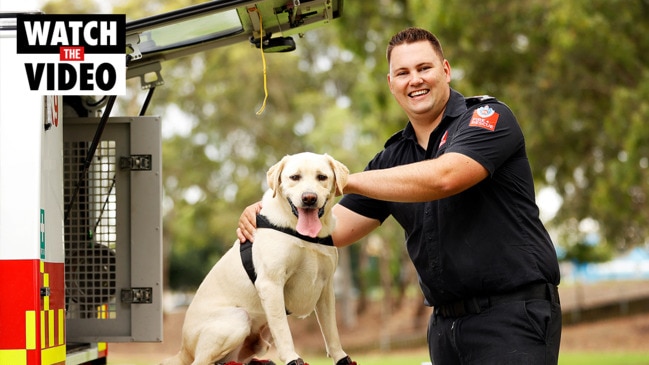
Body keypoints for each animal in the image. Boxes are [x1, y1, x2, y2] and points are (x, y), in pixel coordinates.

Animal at [161, 152, 354, 364]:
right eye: (295, 177)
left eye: (322, 177)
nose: (309, 198)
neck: (304, 234)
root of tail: (183, 350)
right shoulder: (271, 283)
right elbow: (283, 329)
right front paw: (292, 358)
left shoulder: (326, 288)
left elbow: (331, 332)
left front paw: (341, 357)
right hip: (238, 318)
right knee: (202, 361)